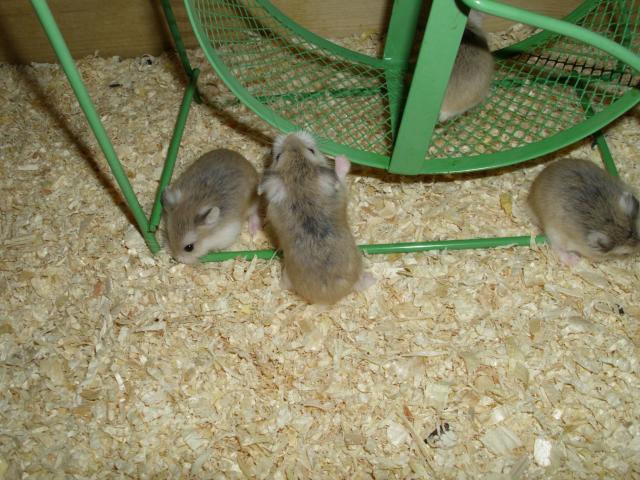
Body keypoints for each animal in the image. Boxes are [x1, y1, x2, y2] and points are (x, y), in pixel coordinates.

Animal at [259, 131, 372, 304]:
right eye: (312, 150)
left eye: (277, 156)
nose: (291, 135)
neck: (300, 185)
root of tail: (326, 299)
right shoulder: (341, 191)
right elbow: (340, 178)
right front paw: (342, 158)